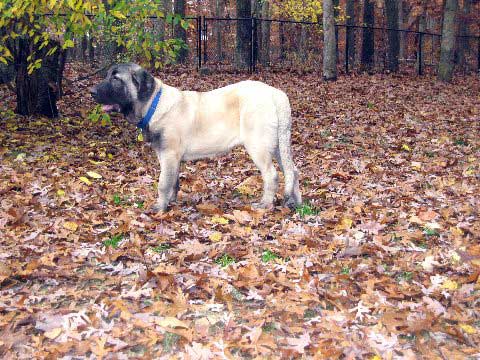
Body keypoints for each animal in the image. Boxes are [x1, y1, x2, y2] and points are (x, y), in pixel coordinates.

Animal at [90, 63, 302, 212]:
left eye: (116, 79)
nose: (91, 91)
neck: (153, 104)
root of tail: (277, 95)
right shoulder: (170, 157)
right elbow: (173, 181)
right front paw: (171, 202)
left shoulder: (168, 154)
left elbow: (163, 183)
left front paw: (159, 208)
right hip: (278, 145)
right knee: (292, 170)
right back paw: (296, 202)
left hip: (258, 146)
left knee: (272, 175)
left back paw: (265, 204)